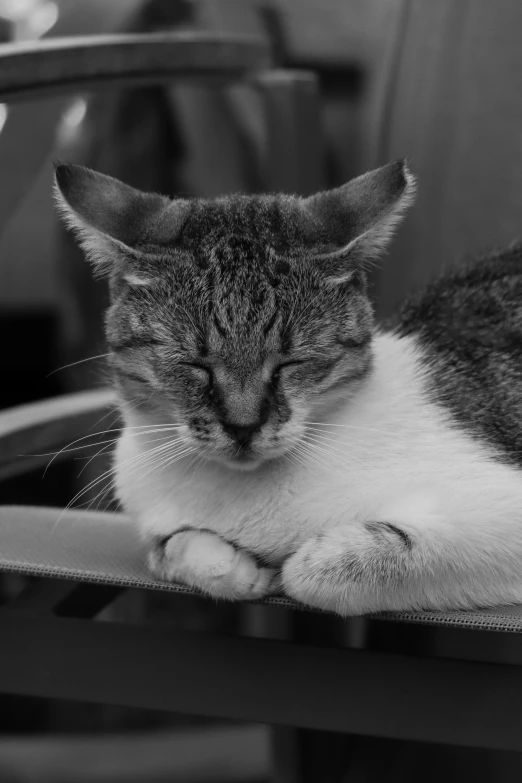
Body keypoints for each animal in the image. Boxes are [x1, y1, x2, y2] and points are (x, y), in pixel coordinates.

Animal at [52, 161, 520, 620]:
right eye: (195, 366)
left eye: (288, 363)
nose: (243, 426)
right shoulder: (155, 518)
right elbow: (170, 549)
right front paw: (236, 568)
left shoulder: (502, 508)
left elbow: (314, 571)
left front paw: (297, 561)